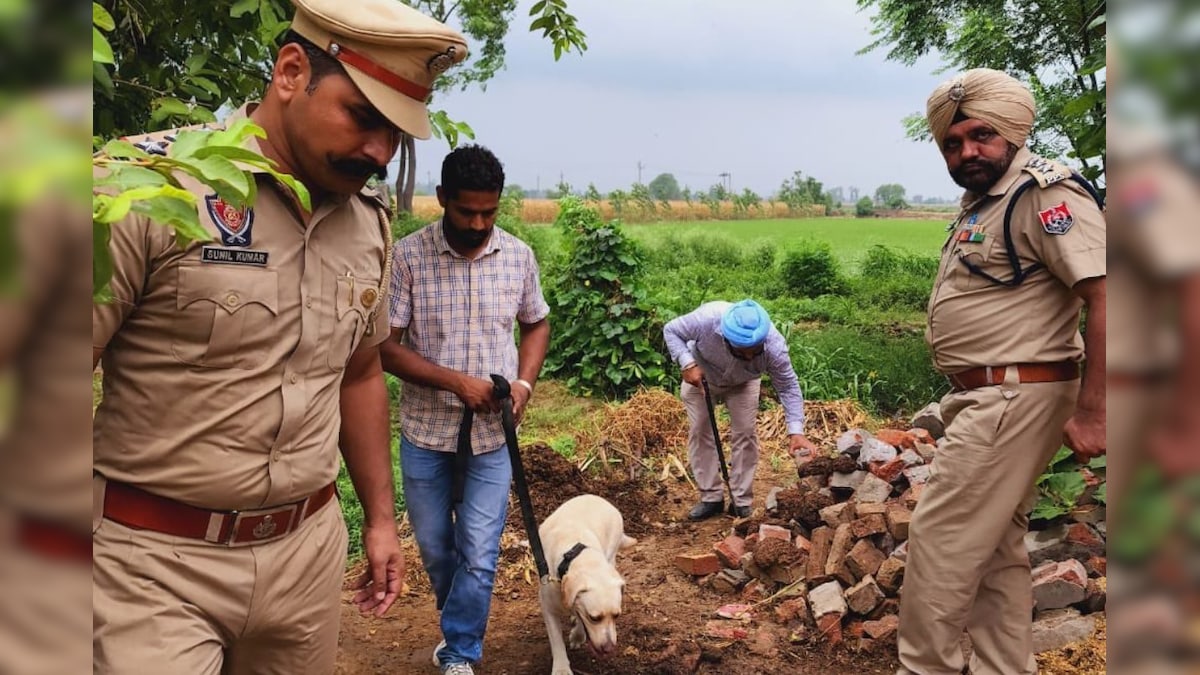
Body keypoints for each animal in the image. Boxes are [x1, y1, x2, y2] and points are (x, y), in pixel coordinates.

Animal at [540, 492, 638, 667]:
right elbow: (556, 641)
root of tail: (601, 500)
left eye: (617, 615)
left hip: (612, 552)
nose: (609, 649)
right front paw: (561, 668)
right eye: (594, 618)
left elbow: (579, 615)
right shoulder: (547, 606)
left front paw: (578, 635)